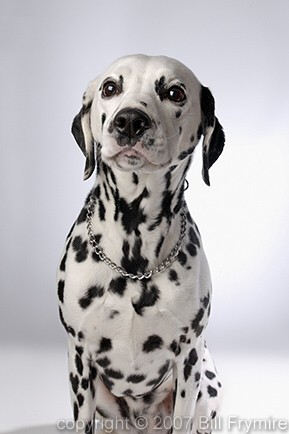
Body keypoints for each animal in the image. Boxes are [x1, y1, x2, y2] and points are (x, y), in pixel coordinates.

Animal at [57, 55, 224, 434]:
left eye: (175, 92)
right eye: (110, 87)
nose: (130, 121)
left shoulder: (189, 359)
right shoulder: (79, 358)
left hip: (207, 385)